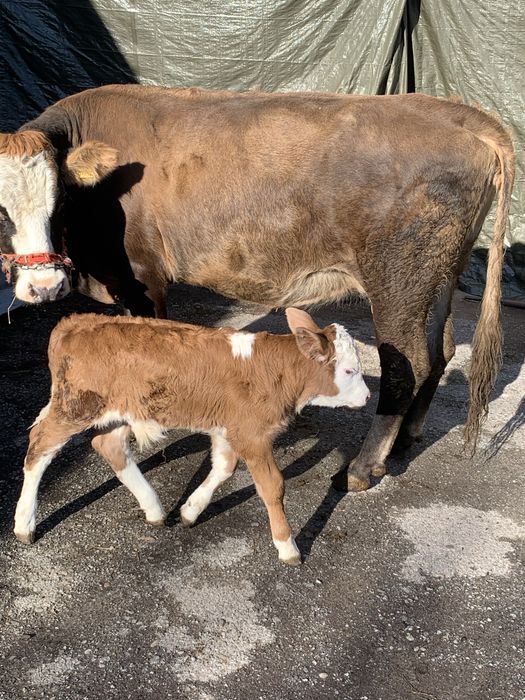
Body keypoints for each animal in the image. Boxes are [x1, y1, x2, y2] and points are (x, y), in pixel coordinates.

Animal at [0, 86, 515, 491]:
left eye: (60, 201)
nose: (43, 286)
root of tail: (456, 113)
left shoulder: (143, 277)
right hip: (438, 276)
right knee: (442, 352)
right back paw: (407, 438)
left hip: (397, 280)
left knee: (408, 365)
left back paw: (362, 469)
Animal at [13, 308, 370, 562]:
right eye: (349, 370)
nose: (367, 397)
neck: (275, 370)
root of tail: (74, 322)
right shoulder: (252, 433)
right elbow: (273, 486)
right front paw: (287, 546)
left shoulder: (229, 428)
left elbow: (224, 468)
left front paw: (190, 510)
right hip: (75, 406)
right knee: (39, 446)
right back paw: (23, 524)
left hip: (120, 408)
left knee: (107, 444)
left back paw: (155, 510)